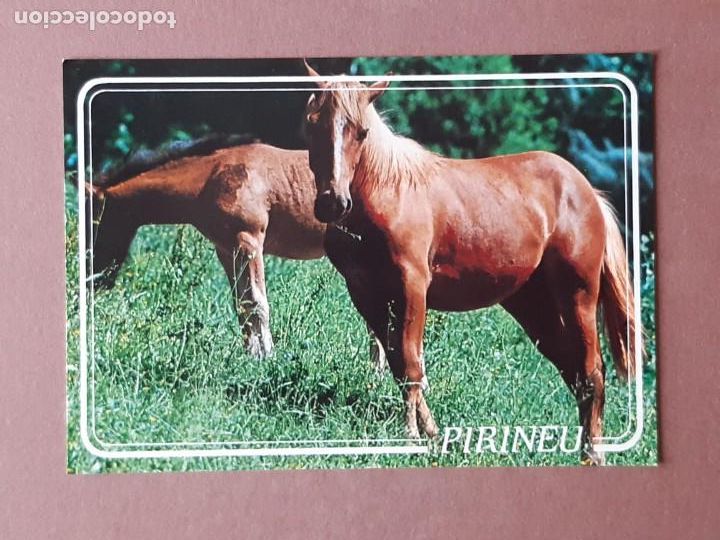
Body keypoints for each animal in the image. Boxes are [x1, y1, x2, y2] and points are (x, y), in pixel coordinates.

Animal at [85, 135, 385, 365]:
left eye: (95, 220)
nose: (95, 279)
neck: (212, 177)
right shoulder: (226, 250)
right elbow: (242, 305)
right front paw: (251, 357)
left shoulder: (249, 242)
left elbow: (257, 303)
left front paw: (268, 358)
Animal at [301, 64, 639, 465]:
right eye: (311, 124)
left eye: (362, 131)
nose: (333, 203)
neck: (388, 192)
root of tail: (588, 192)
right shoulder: (365, 294)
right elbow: (399, 364)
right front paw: (431, 434)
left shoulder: (411, 288)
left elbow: (411, 364)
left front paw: (411, 435)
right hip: (533, 307)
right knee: (573, 371)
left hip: (578, 297)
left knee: (592, 372)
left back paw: (593, 455)